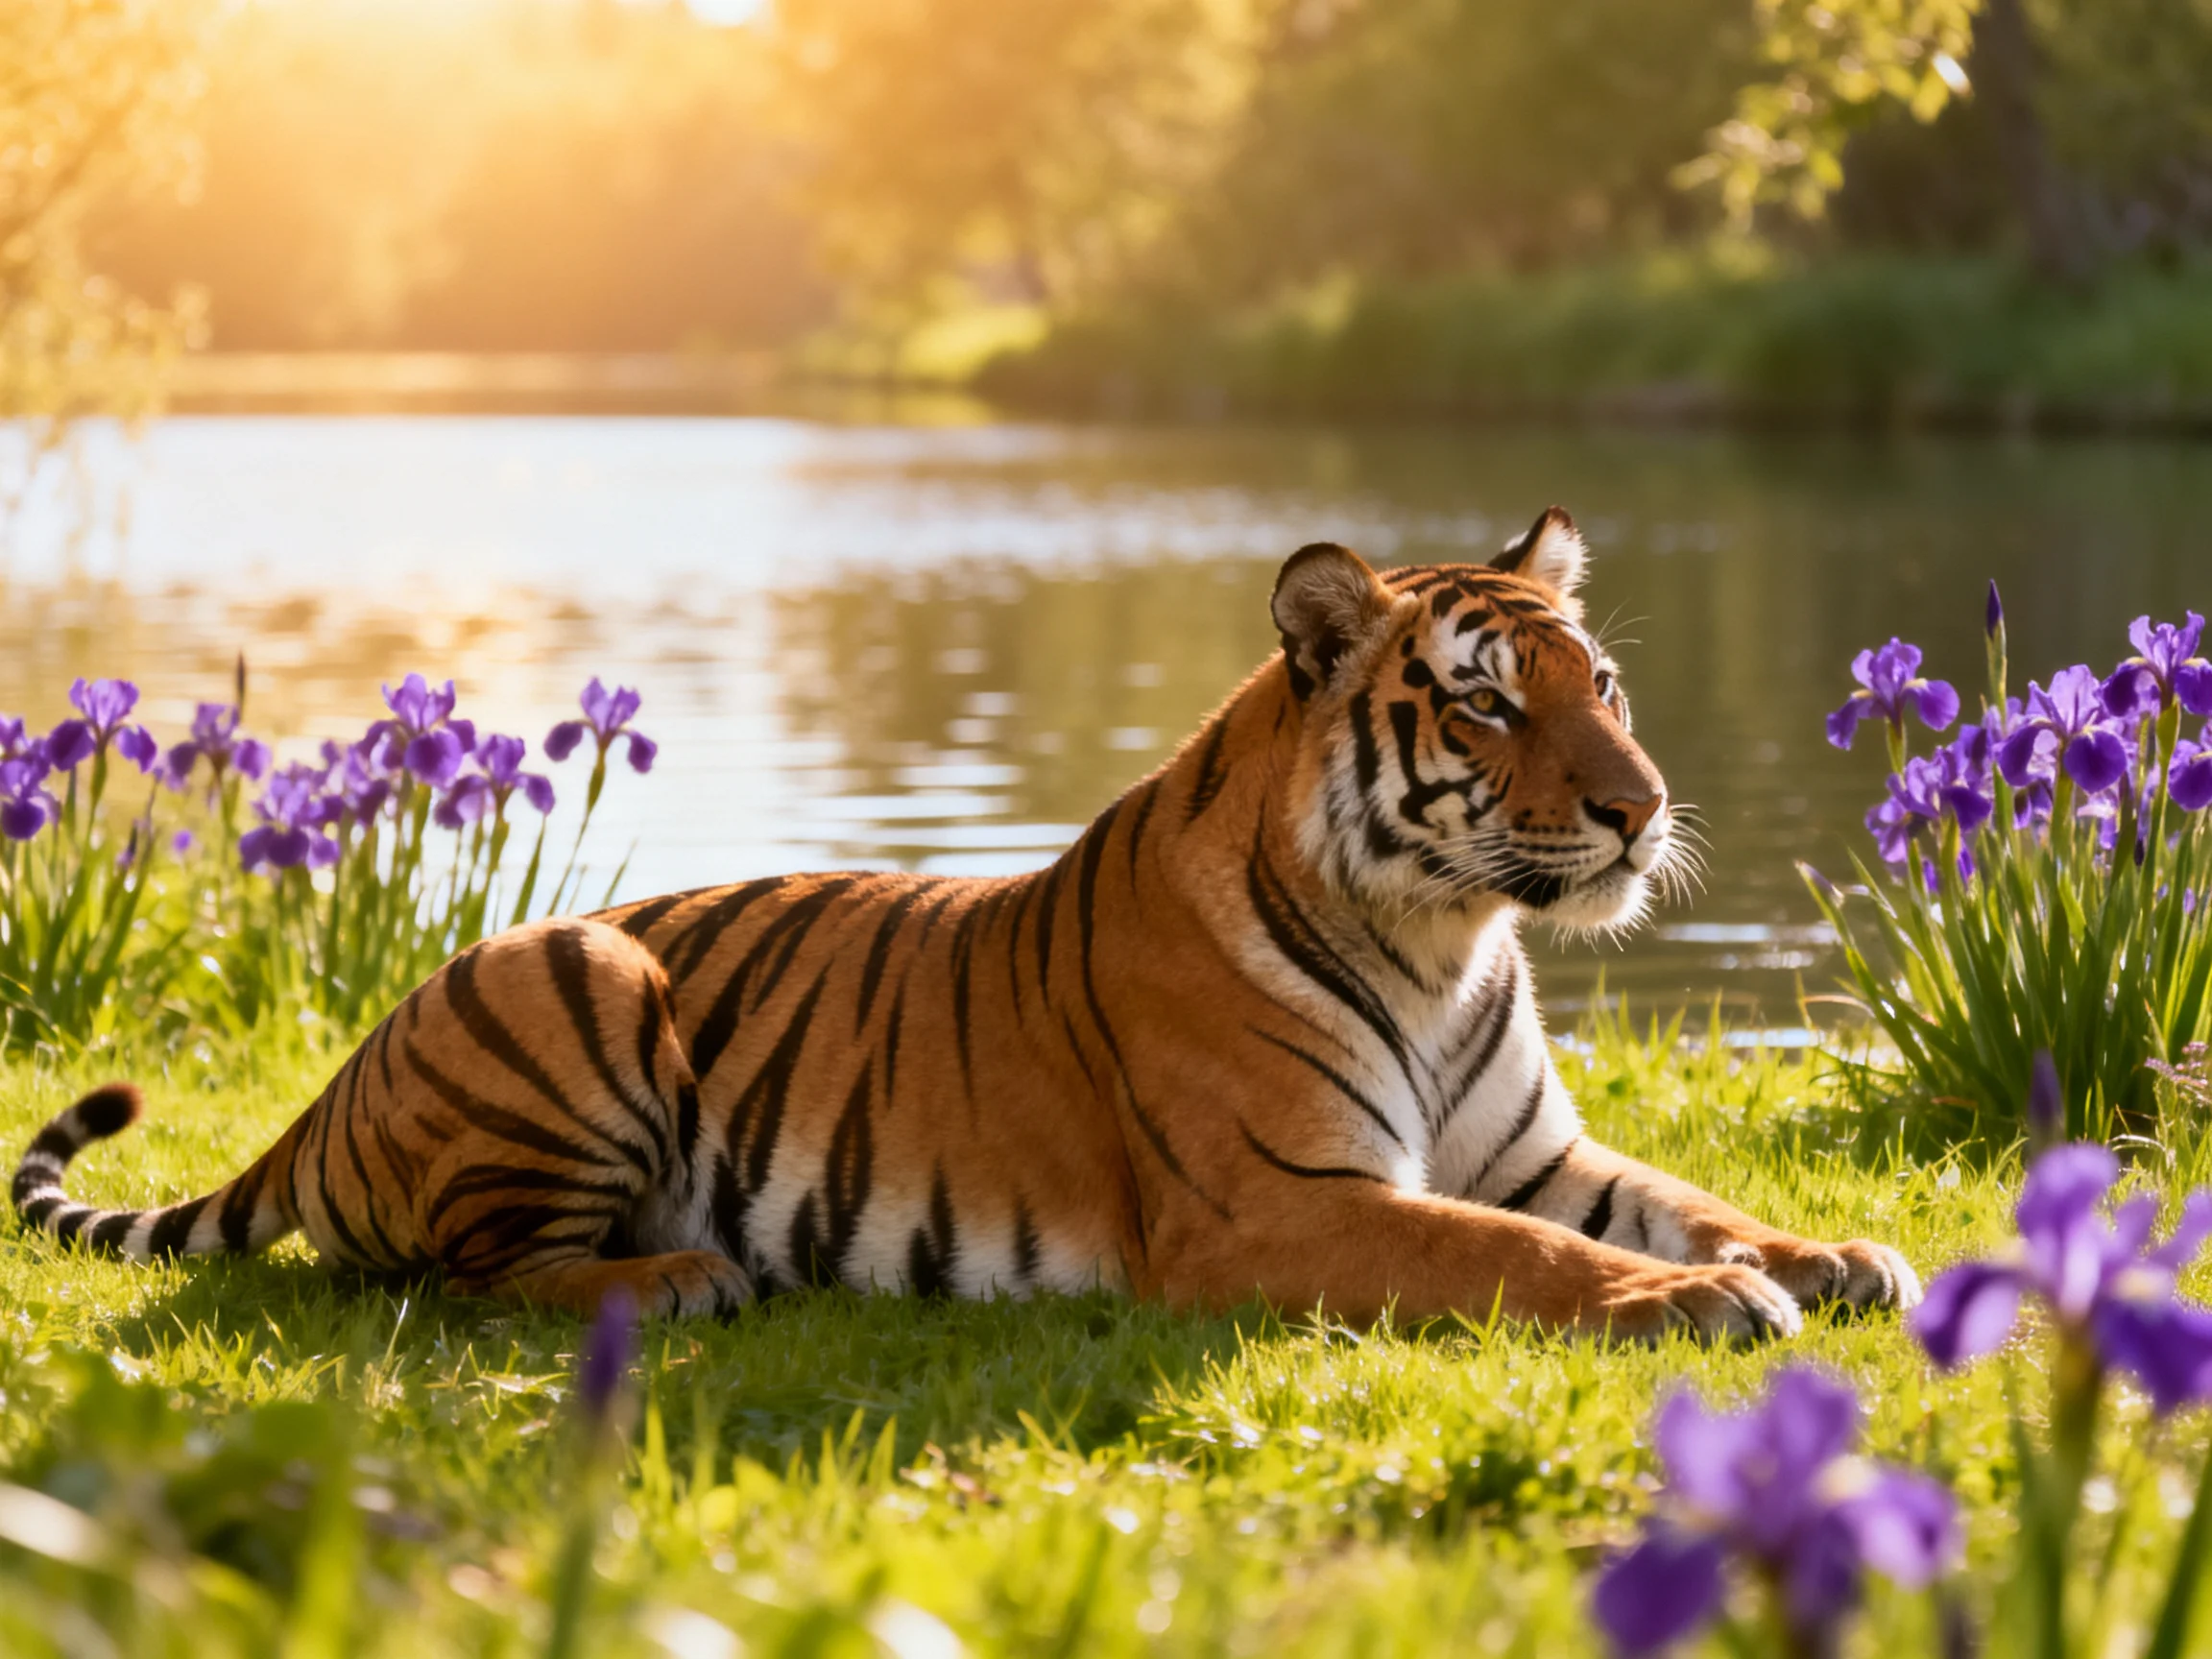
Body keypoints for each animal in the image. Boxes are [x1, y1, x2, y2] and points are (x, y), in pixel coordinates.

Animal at [13, 507, 1920, 1342]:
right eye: (1483, 703)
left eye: (1598, 685)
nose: (1637, 807)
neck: (1447, 943)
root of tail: (335, 1077)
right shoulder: (1280, 1201)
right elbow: (1516, 1257)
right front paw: (1703, 1300)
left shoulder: (1531, 1149)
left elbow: (1684, 1196)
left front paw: (1828, 1255)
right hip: (583, 968)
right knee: (460, 1273)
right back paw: (681, 1274)